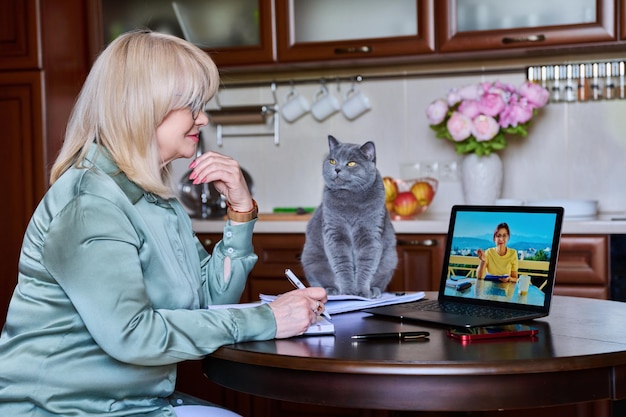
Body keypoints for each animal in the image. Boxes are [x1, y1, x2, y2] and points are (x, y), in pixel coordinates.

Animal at [302, 135, 398, 298]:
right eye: (332, 161)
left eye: (351, 163)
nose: (337, 169)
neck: (350, 199)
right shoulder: (335, 235)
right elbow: (342, 265)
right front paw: (348, 293)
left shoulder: (370, 236)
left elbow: (366, 266)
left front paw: (361, 293)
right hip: (311, 257)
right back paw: (331, 290)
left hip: (390, 258)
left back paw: (374, 290)